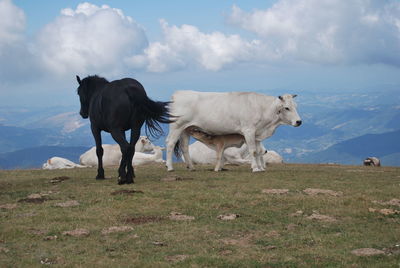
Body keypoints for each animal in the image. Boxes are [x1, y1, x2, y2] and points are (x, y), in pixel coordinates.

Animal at [166, 91, 300, 173]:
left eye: (296, 106)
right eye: (287, 108)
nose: (299, 121)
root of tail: (178, 93)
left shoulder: (257, 133)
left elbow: (257, 151)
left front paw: (260, 168)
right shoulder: (249, 130)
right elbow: (253, 151)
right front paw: (255, 168)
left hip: (186, 129)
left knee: (184, 146)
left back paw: (191, 167)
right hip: (176, 127)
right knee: (170, 143)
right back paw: (169, 167)